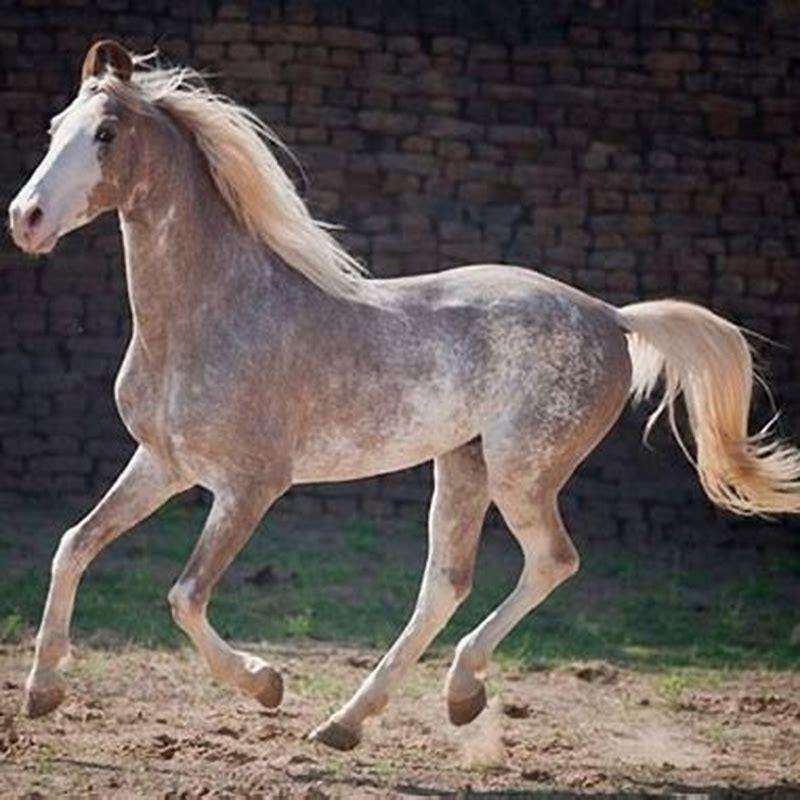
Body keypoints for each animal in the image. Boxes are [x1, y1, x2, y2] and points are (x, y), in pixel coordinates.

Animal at [8, 40, 800, 751]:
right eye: (55, 127)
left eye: (106, 134)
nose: (26, 219)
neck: (212, 313)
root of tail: (614, 317)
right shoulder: (163, 464)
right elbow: (73, 545)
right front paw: (42, 693)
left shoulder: (250, 485)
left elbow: (185, 596)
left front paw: (267, 685)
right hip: (463, 464)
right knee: (445, 584)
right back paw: (348, 724)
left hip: (522, 472)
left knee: (551, 561)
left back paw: (459, 693)